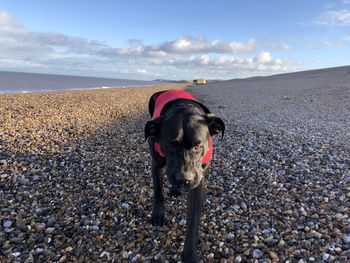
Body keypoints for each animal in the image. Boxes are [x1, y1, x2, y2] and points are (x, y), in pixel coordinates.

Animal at [144, 90, 224, 262]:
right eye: (171, 144)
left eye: (198, 146)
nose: (184, 179)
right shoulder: (156, 165)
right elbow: (158, 192)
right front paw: (158, 214)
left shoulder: (198, 181)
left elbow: (193, 221)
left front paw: (190, 255)